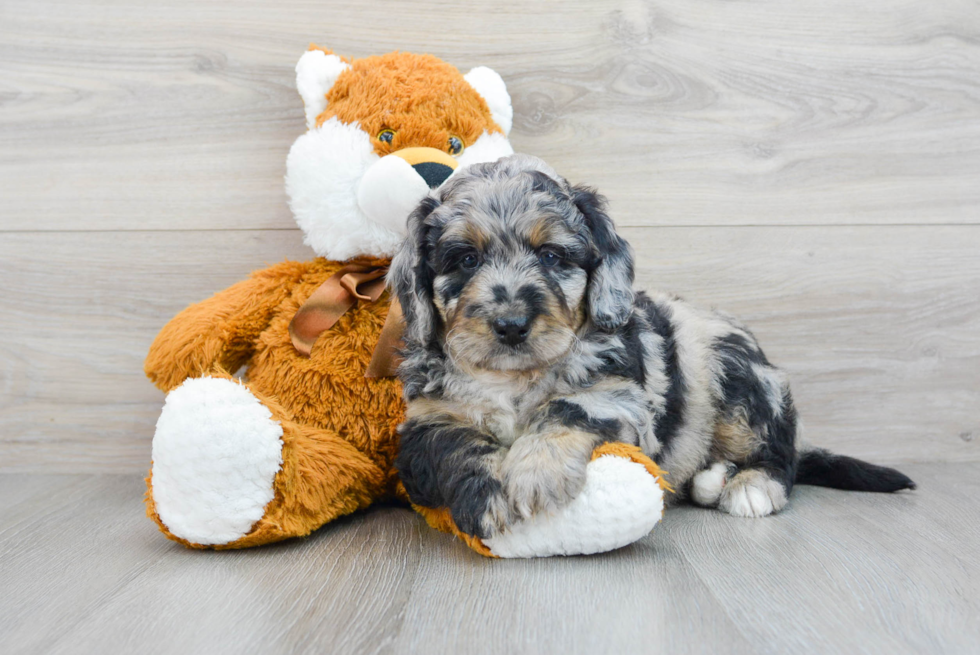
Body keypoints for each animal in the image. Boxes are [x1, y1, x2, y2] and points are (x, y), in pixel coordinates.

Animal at [386, 154, 916, 540]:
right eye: (465, 259)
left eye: (551, 255)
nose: (512, 325)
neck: (515, 377)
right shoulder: (425, 423)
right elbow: (456, 447)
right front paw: (487, 495)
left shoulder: (620, 397)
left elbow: (567, 407)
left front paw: (536, 471)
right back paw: (709, 480)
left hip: (742, 383)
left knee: (781, 456)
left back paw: (749, 487)